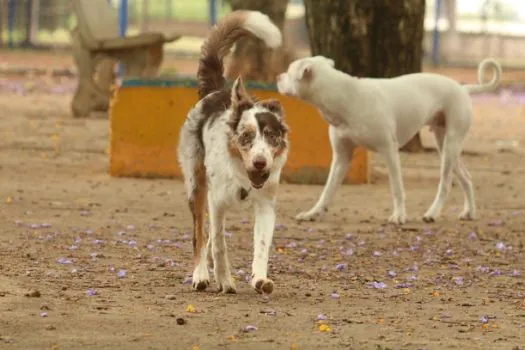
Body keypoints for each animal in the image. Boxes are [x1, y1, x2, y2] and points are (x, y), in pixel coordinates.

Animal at [178, 10, 288, 294]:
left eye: (271, 136)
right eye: (246, 136)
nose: (260, 163)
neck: (243, 179)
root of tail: (217, 90)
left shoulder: (265, 206)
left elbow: (261, 246)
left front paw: (260, 279)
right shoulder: (216, 202)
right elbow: (218, 243)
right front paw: (225, 280)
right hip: (197, 185)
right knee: (200, 235)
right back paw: (201, 275)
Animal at [274, 54, 500, 224]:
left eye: (290, 70)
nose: (278, 76)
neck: (346, 97)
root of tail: (463, 88)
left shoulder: (389, 150)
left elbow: (397, 187)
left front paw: (399, 216)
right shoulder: (341, 158)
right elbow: (327, 190)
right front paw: (313, 213)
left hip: (450, 145)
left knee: (445, 183)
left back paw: (432, 213)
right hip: (444, 144)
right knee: (466, 178)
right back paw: (469, 212)